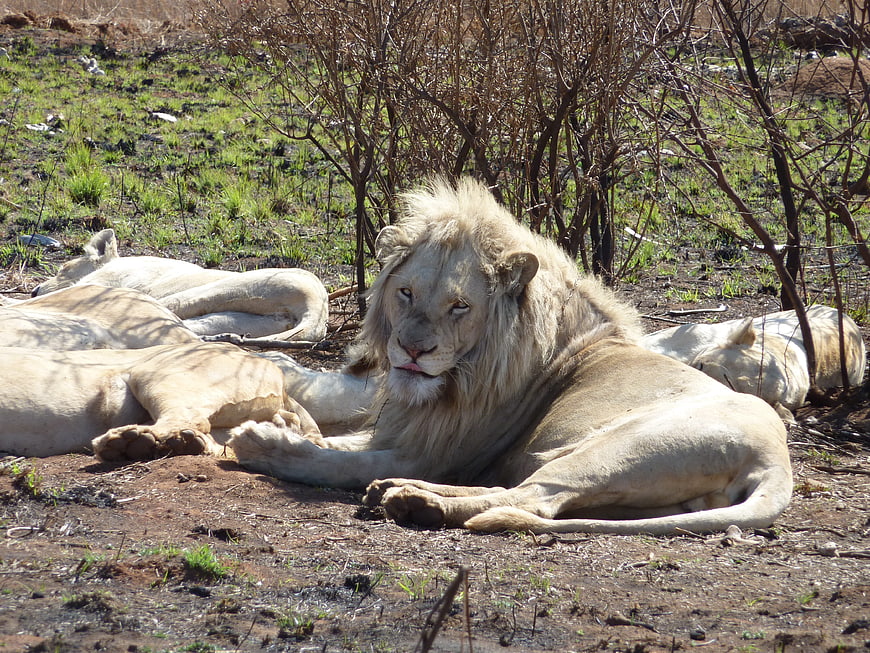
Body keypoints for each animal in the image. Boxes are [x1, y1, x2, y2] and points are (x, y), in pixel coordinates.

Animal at [31, 229, 329, 341]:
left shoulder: (103, 283)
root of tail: (317, 304)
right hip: (257, 319)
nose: (34, 288)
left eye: (63, 268)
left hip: (225, 288)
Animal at [228, 178, 792, 535]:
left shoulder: (435, 449)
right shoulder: (408, 433)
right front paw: (293, 426)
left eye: (459, 306)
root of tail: (776, 457)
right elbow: (340, 443)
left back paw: (413, 501)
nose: (412, 349)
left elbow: (336, 461)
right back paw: (396, 491)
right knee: (525, 494)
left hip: (616, 449)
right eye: (406, 293)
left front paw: (262, 442)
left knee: (534, 497)